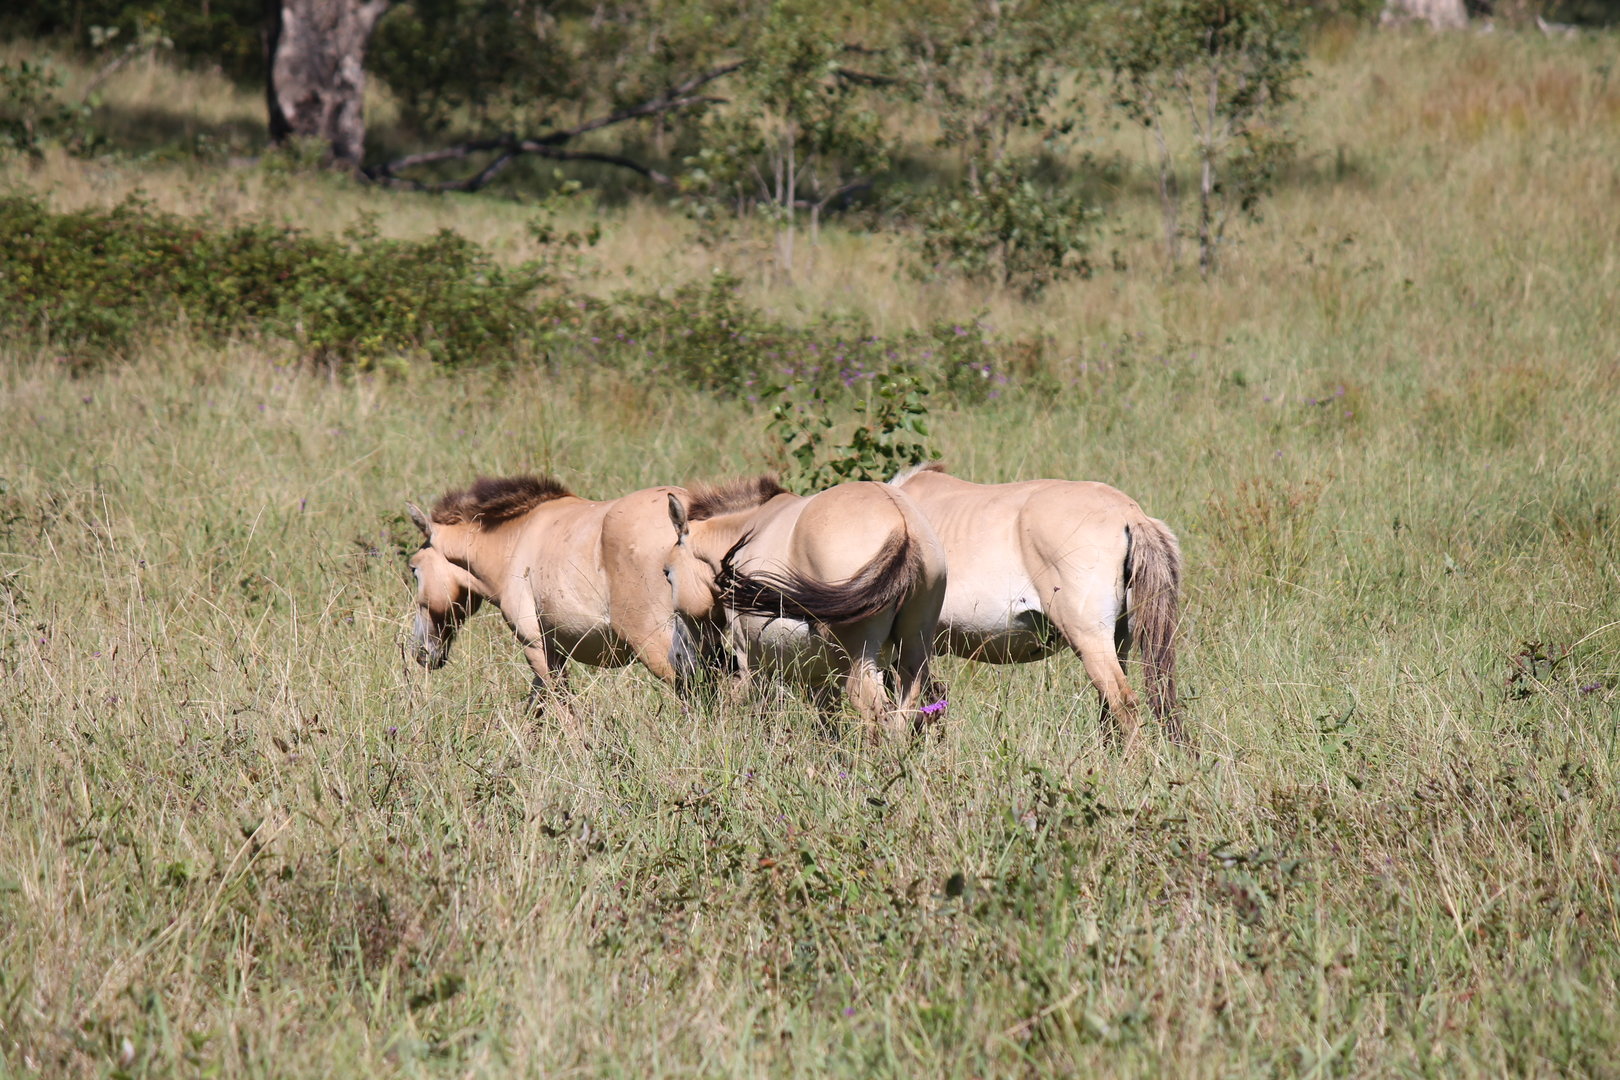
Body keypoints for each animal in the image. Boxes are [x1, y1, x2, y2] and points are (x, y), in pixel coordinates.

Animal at [406, 475, 717, 715]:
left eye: (414, 569)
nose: (420, 652)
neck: (513, 541)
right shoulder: (555, 651)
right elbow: (535, 709)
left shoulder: (536, 646)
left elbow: (563, 711)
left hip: (657, 647)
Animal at [662, 476, 948, 740]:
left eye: (667, 574)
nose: (677, 656)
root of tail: (902, 525)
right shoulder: (820, 670)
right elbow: (826, 720)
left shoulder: (750, 659)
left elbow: (756, 707)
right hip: (914, 650)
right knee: (905, 713)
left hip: (858, 658)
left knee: (874, 711)